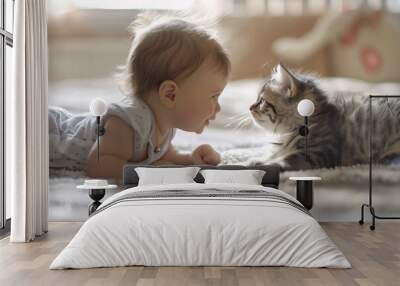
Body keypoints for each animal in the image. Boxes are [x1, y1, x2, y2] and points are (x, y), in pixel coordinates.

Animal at [248, 64, 400, 171]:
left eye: (261, 101)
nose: (250, 108)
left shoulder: (321, 152)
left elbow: (286, 159)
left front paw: (260, 163)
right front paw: (257, 160)